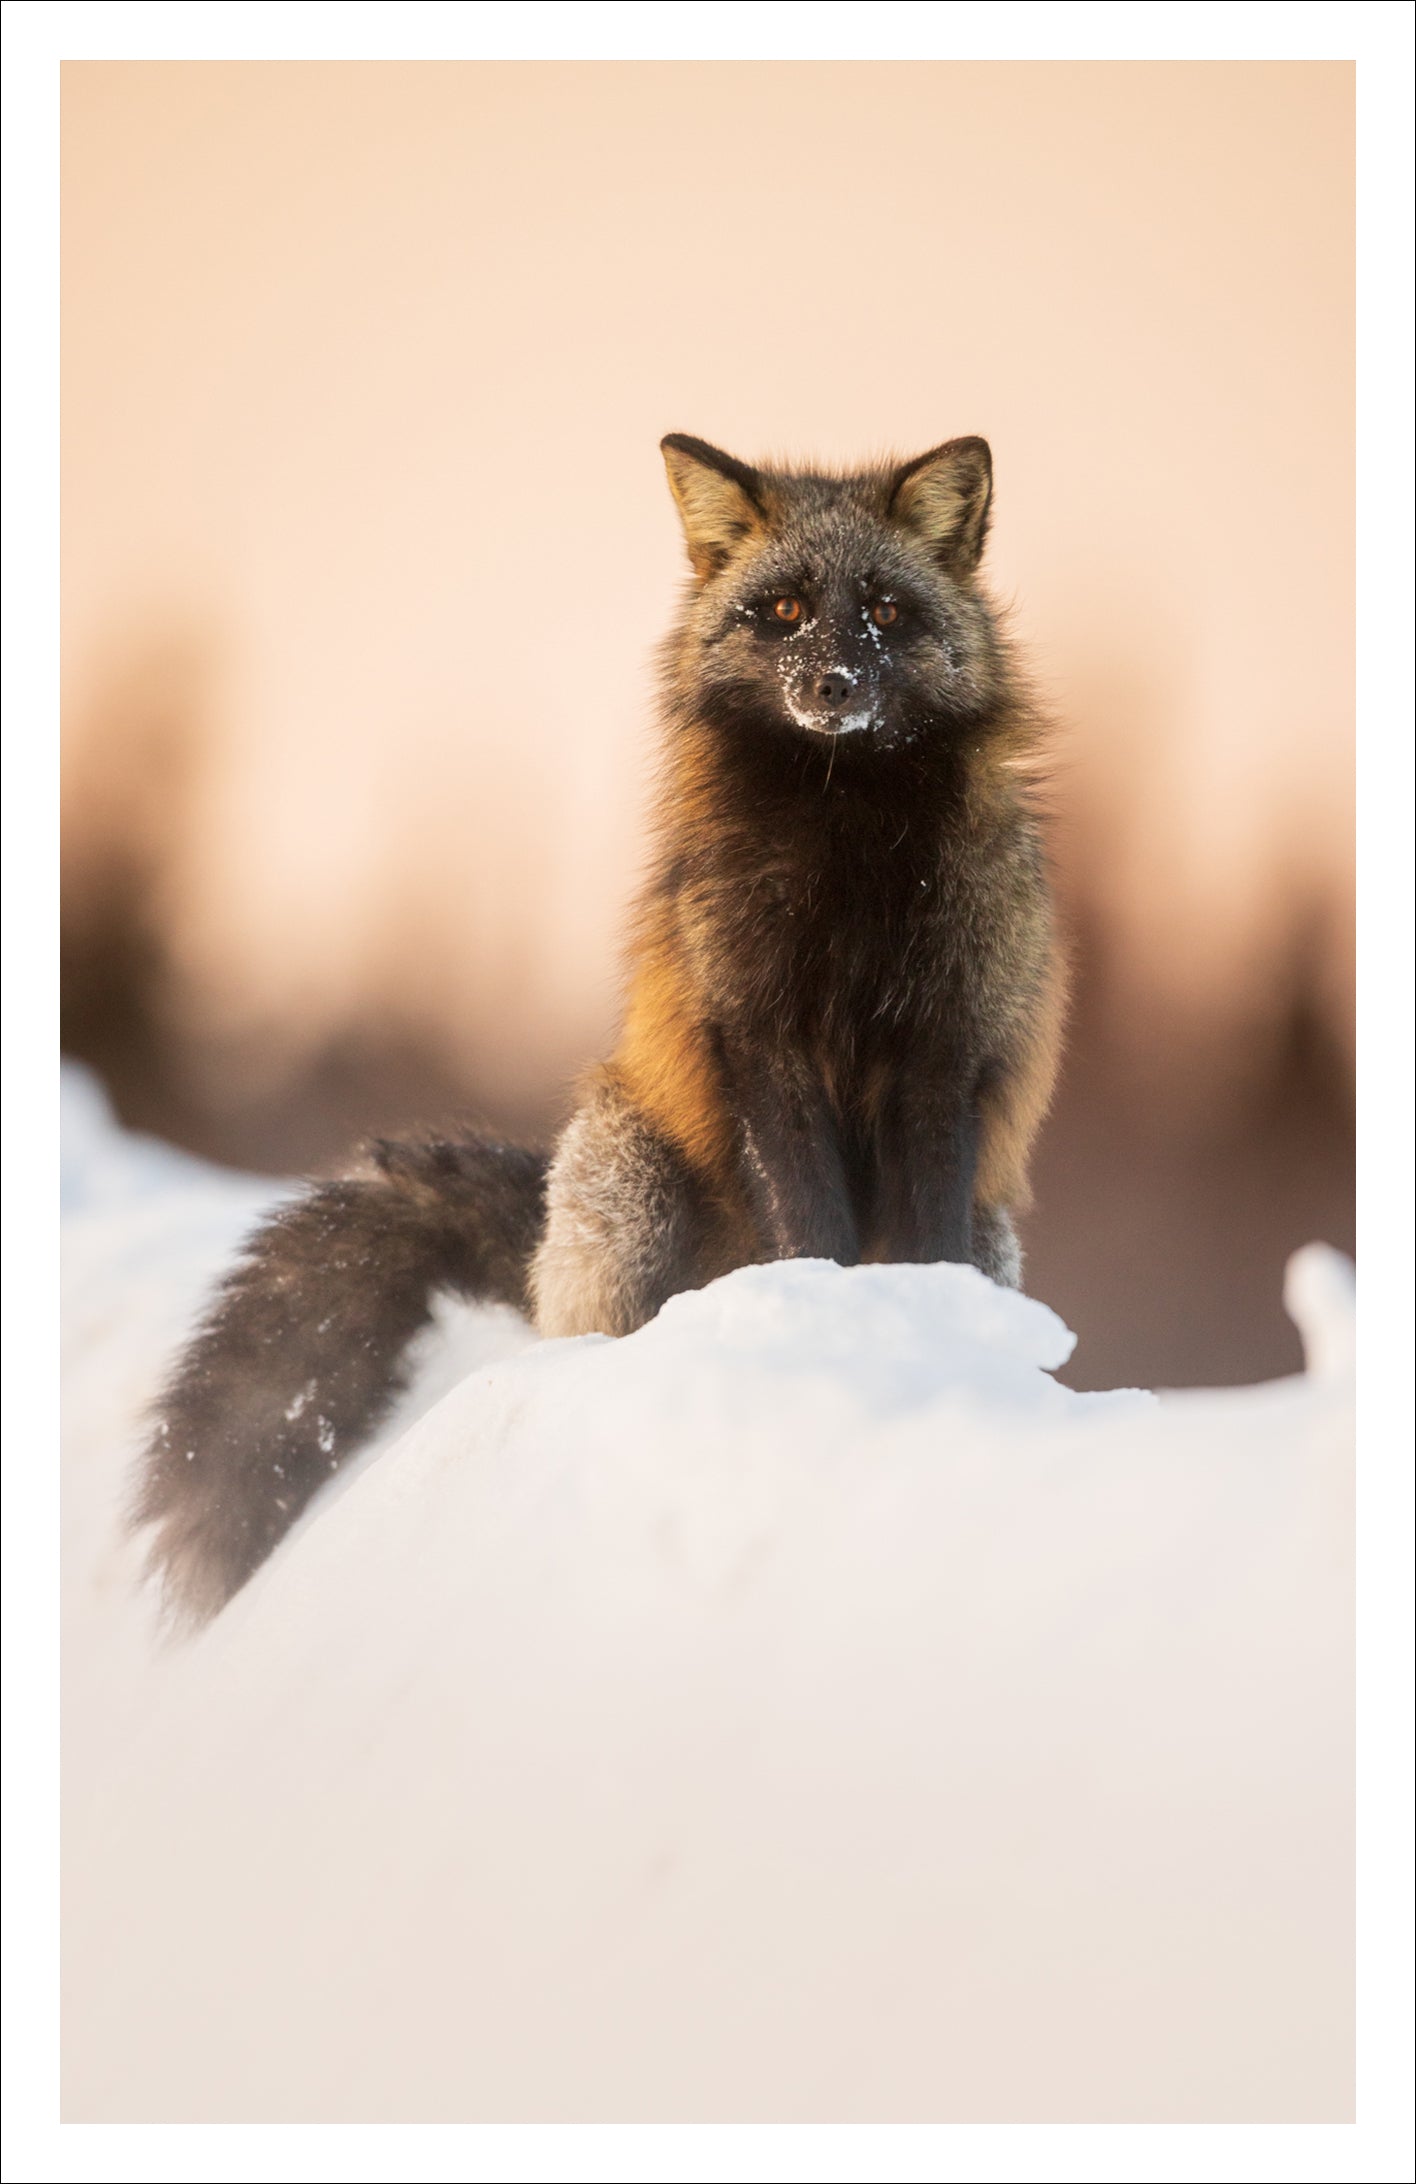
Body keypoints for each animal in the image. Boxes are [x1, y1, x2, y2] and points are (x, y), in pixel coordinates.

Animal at [134, 431, 1065, 1624]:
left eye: (887, 612)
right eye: (785, 610)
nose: (834, 686)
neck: (847, 859)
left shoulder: (941, 1052)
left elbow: (921, 1235)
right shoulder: (757, 1038)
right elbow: (811, 1224)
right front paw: (818, 1311)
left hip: (987, 1231)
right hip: (633, 1177)